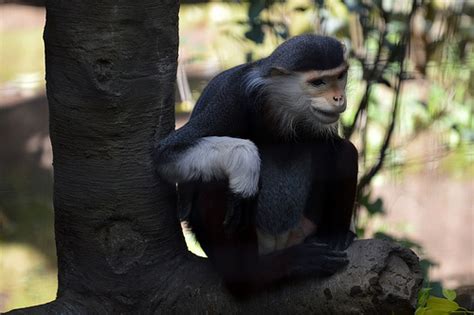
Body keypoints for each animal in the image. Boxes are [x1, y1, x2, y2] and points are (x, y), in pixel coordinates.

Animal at [154, 34, 358, 296]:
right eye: (318, 82)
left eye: (340, 76)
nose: (338, 97)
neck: (278, 109)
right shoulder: (232, 98)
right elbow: (166, 155)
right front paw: (246, 167)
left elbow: (339, 149)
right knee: (215, 179)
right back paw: (251, 276)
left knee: (344, 152)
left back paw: (335, 236)